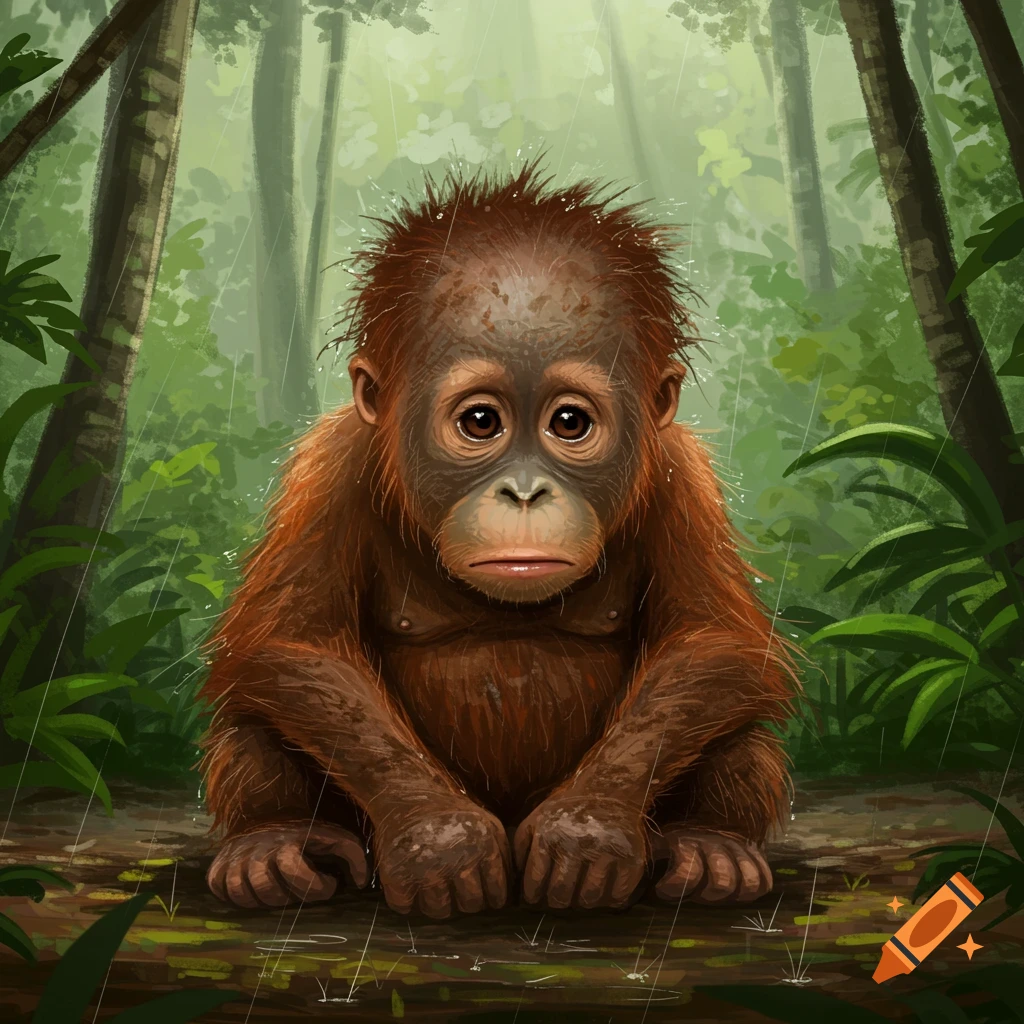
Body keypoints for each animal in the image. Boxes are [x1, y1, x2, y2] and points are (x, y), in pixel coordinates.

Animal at [199, 162, 797, 918]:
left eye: (570, 423)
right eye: (480, 421)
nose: (524, 492)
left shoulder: (680, 479)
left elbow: (711, 640)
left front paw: (588, 832)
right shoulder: (332, 468)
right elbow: (293, 642)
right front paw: (439, 840)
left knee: (737, 724)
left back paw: (711, 846)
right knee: (253, 717)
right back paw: (270, 847)